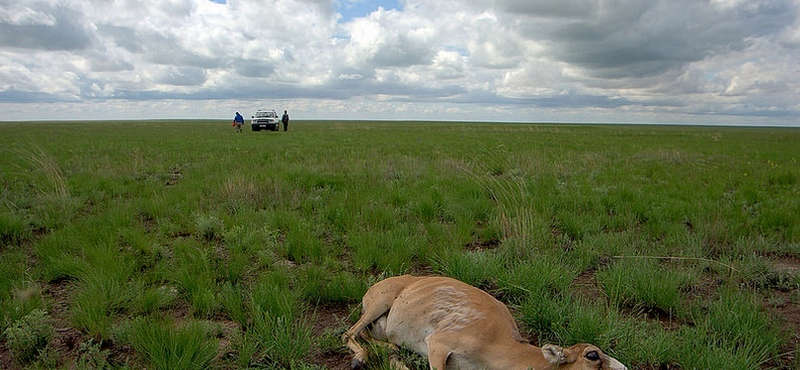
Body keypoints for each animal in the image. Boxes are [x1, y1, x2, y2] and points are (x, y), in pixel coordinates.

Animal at [340, 274, 628, 370]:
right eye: (593, 355)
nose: (625, 368)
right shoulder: (438, 345)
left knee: (373, 338)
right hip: (380, 302)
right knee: (348, 333)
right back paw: (359, 359)